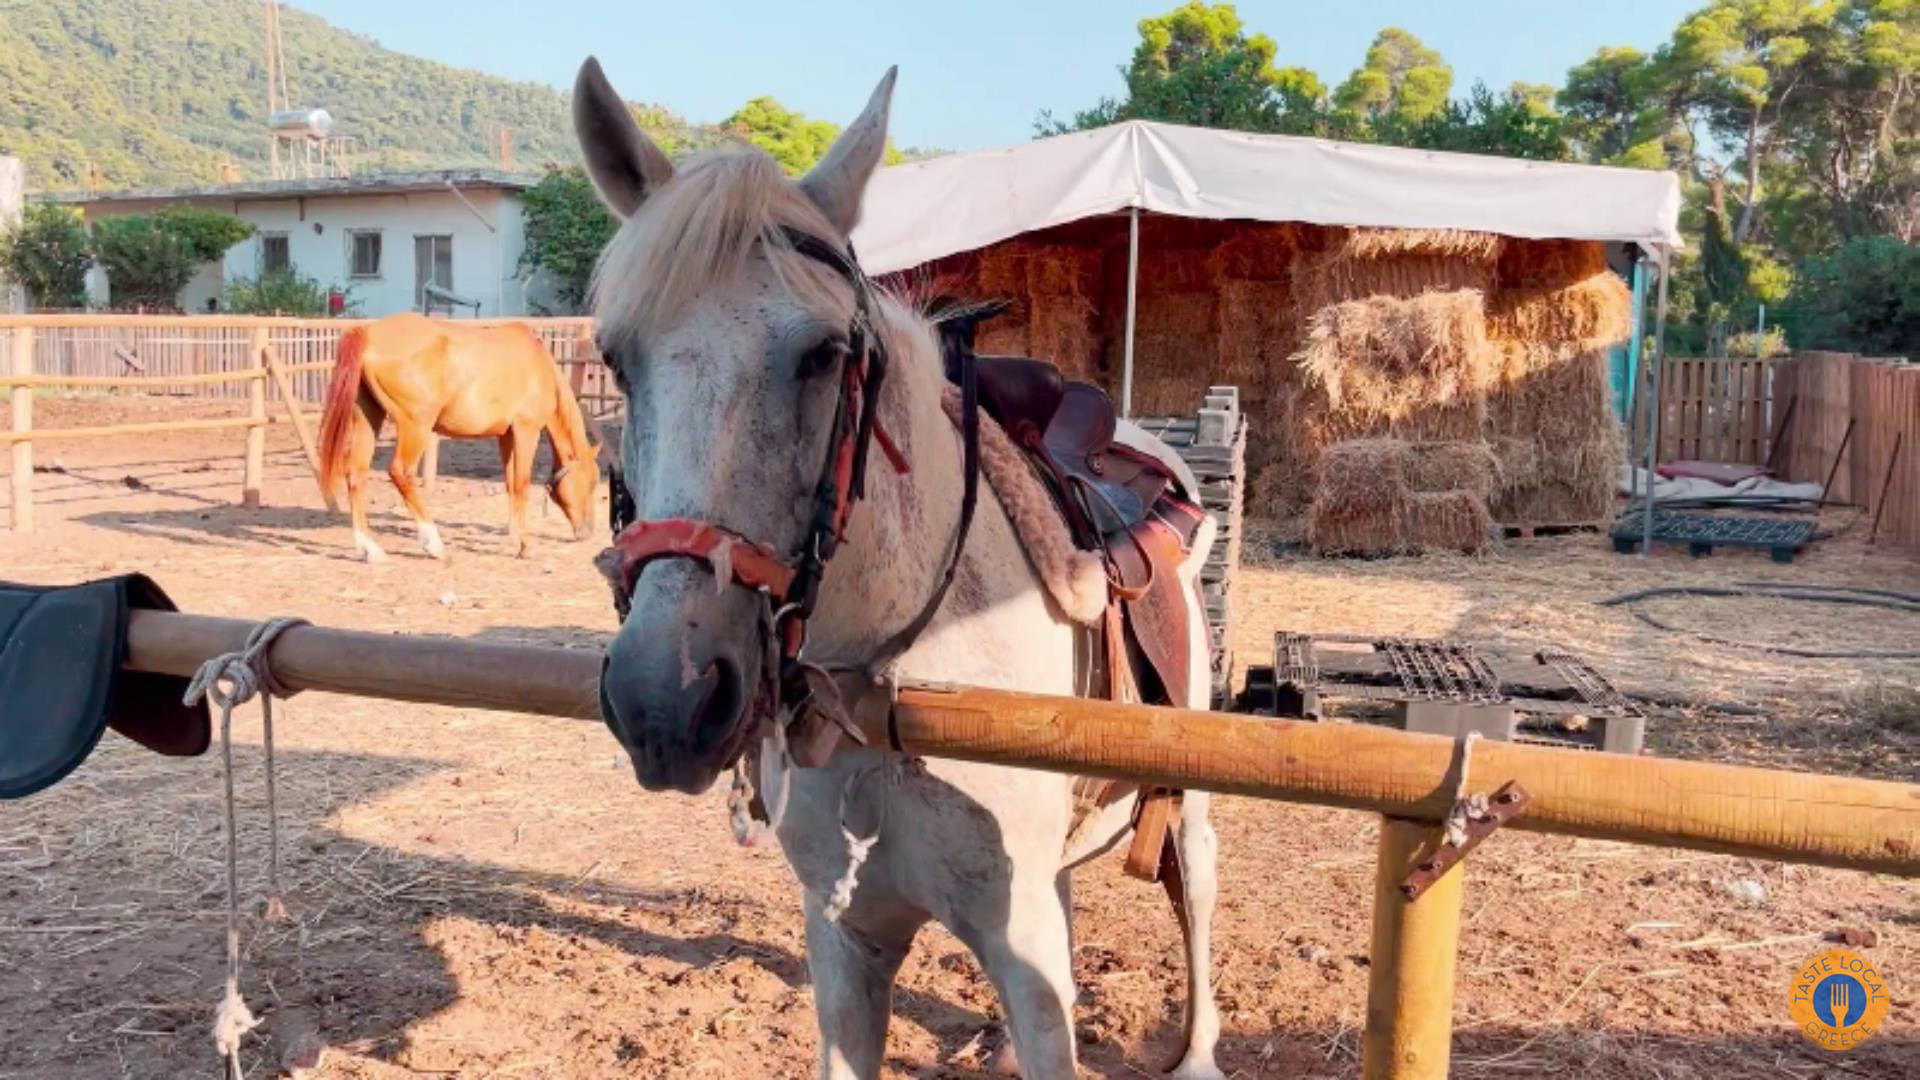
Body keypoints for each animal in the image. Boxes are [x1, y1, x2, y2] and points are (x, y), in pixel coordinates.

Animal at [314, 311, 599, 557]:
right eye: (593, 482)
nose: (587, 532)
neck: (540, 366)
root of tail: (368, 332)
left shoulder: (505, 436)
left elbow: (509, 482)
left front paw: (512, 535)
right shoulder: (526, 431)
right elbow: (521, 484)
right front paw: (525, 545)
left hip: (368, 420)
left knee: (355, 474)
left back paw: (370, 549)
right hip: (415, 427)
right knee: (400, 472)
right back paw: (433, 544)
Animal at [576, 58, 1221, 1076]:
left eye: (823, 354)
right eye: (616, 355)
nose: (666, 703)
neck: (888, 680)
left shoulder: (1022, 947)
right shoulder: (849, 942)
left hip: (1188, 789)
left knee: (1194, 881)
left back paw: (1198, 1049)